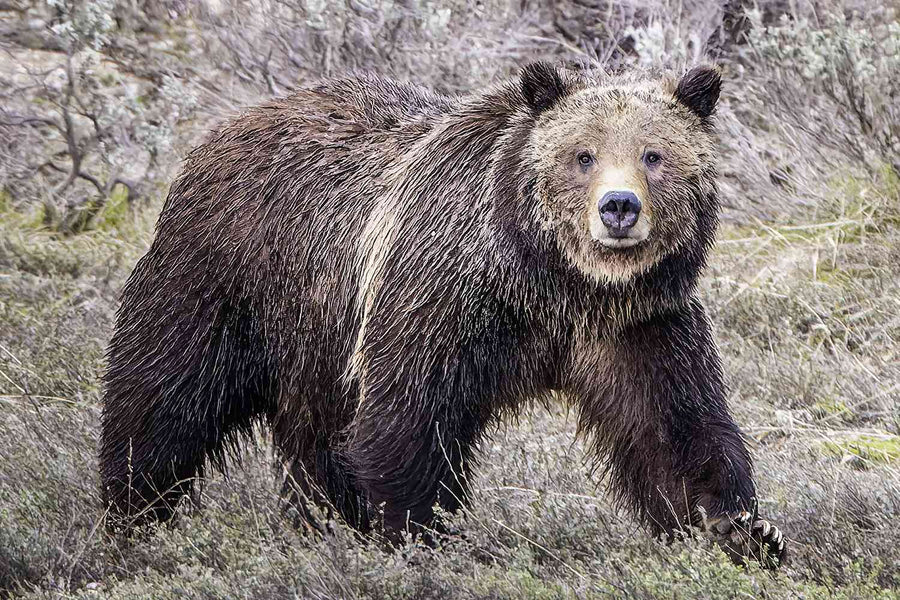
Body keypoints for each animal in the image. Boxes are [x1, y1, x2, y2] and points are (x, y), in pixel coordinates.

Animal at [100, 63, 788, 564]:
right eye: (583, 155)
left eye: (654, 154)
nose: (619, 207)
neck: (550, 284)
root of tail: (223, 128)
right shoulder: (441, 298)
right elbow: (408, 420)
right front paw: (419, 536)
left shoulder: (635, 324)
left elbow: (674, 428)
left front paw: (743, 533)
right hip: (223, 281)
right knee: (163, 398)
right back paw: (132, 516)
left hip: (316, 343)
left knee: (314, 435)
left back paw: (324, 519)